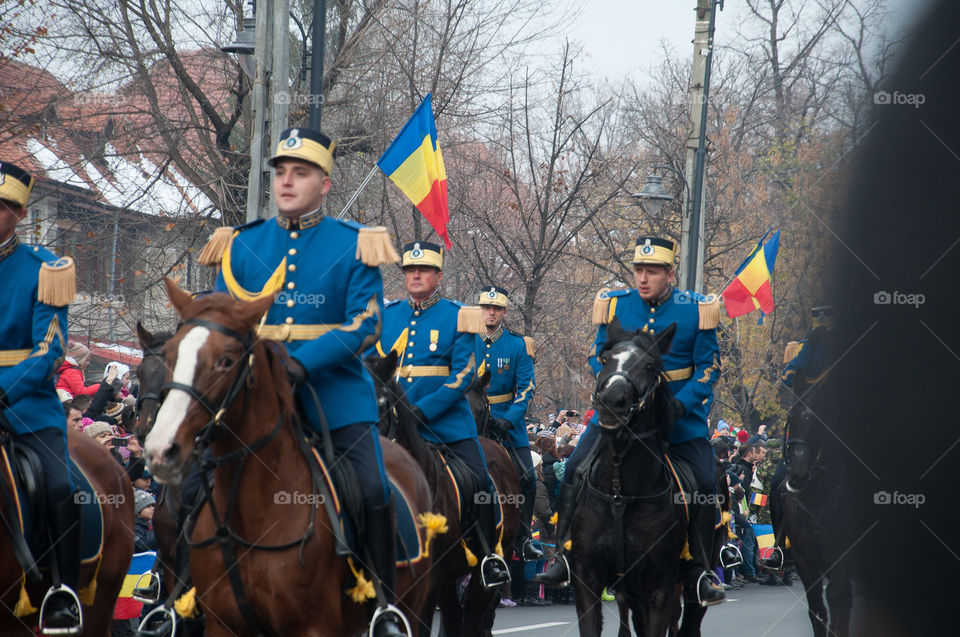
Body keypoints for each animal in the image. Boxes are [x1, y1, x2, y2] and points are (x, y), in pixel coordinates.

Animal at [143, 284, 436, 636]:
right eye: (171, 355)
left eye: (225, 361)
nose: (160, 447)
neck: (253, 516)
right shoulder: (222, 623)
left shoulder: (313, 626)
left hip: (413, 604)